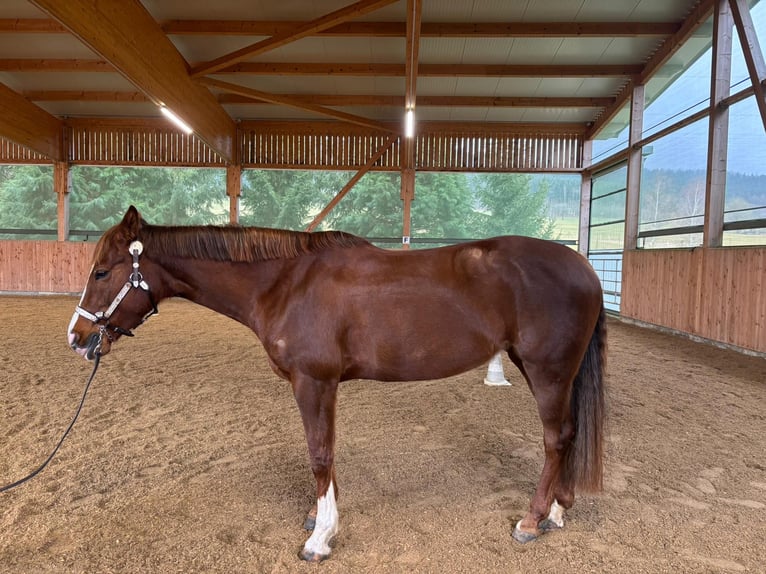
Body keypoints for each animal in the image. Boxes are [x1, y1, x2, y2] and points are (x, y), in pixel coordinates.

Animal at [67, 206, 606, 562]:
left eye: (102, 271)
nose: (78, 338)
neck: (285, 283)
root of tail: (583, 267)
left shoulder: (314, 382)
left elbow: (319, 454)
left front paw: (320, 538)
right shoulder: (322, 386)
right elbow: (325, 454)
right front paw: (317, 515)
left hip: (547, 371)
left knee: (556, 439)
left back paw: (532, 520)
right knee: (569, 434)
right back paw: (558, 511)